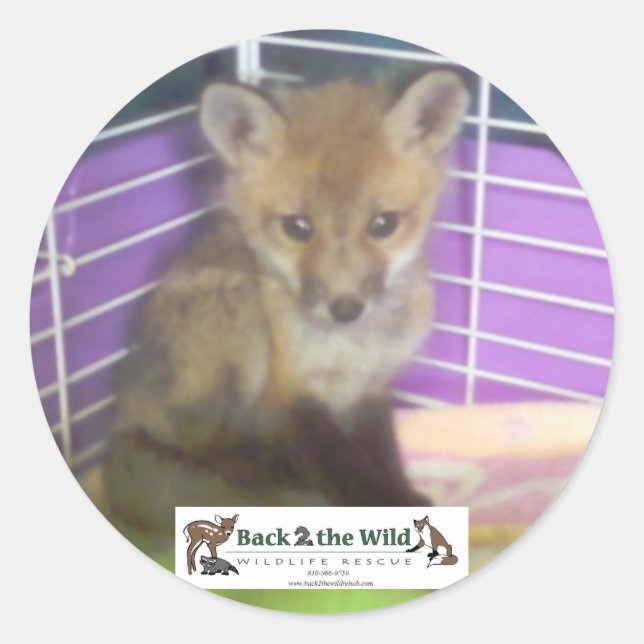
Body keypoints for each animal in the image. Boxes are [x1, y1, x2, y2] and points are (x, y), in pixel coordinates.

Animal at [102, 70, 469, 537]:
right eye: (297, 227)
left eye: (383, 224)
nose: (344, 308)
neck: (350, 350)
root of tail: (120, 420)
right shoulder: (287, 396)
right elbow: (345, 465)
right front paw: (386, 509)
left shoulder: (369, 390)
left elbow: (379, 454)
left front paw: (399, 494)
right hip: (235, 320)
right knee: (218, 452)